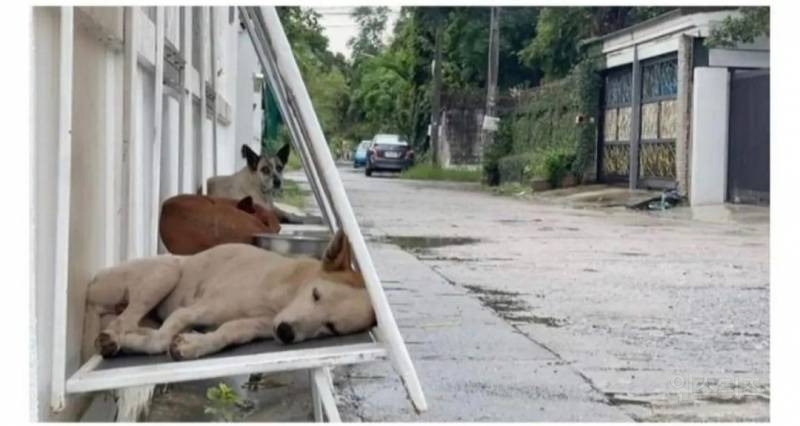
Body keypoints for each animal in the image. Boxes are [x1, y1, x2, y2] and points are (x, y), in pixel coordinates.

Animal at [84, 228, 376, 362]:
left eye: (331, 327)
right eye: (316, 294)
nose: (285, 333)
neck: (282, 296)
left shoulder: (254, 327)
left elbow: (227, 334)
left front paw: (195, 344)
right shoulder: (190, 311)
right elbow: (160, 340)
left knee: (131, 323)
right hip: (166, 271)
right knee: (122, 322)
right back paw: (115, 339)